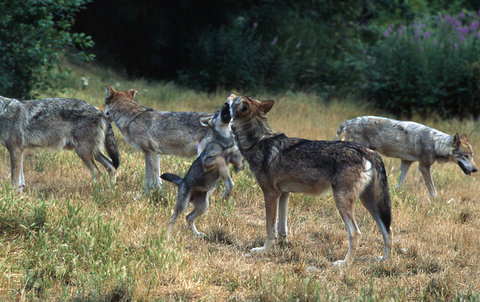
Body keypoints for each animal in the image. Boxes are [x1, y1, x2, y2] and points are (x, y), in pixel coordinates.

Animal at [105, 85, 236, 193]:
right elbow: (149, 180)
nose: (104, 113)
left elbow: (154, 180)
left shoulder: (151, 154)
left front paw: (153, 196)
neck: (133, 118)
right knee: (228, 183)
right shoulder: (151, 155)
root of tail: (228, 123)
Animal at [161, 103, 244, 238]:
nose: (226, 104)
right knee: (172, 218)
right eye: (218, 111)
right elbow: (221, 160)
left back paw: (197, 234)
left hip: (203, 206)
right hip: (183, 205)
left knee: (188, 217)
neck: (224, 142)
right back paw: (167, 236)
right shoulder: (208, 160)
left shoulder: (233, 157)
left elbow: (231, 176)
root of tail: (182, 182)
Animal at [227, 94, 392, 266]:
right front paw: (283, 245)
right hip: (370, 203)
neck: (257, 141)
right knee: (387, 230)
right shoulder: (284, 194)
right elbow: (281, 227)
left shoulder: (270, 194)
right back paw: (384, 260)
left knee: (356, 233)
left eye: (235, 99)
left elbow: (269, 228)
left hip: (342, 202)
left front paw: (264, 250)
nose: (231, 94)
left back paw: (344, 263)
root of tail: (367, 151)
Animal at [336, 115, 478, 198]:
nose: (475, 169)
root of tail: (349, 121)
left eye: (472, 156)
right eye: (465, 156)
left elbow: (398, 184)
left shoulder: (406, 162)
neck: (435, 143)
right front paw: (437, 205)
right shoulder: (423, 167)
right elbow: (434, 193)